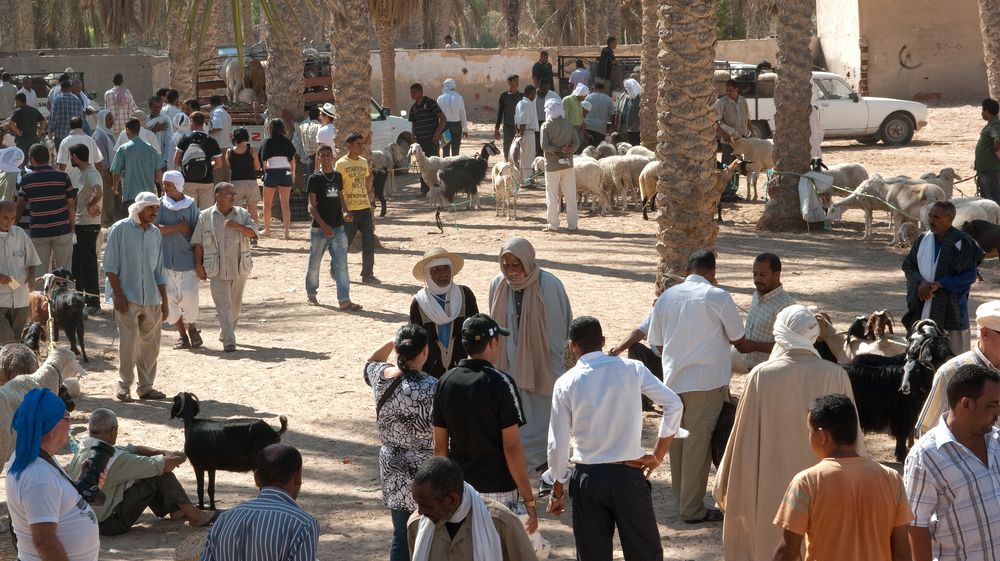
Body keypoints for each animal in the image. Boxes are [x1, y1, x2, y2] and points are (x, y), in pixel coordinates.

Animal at [844, 318, 952, 462]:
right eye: (933, 344)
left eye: (945, 344)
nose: (948, 355)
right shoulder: (902, 414)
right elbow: (902, 433)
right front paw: (901, 455)